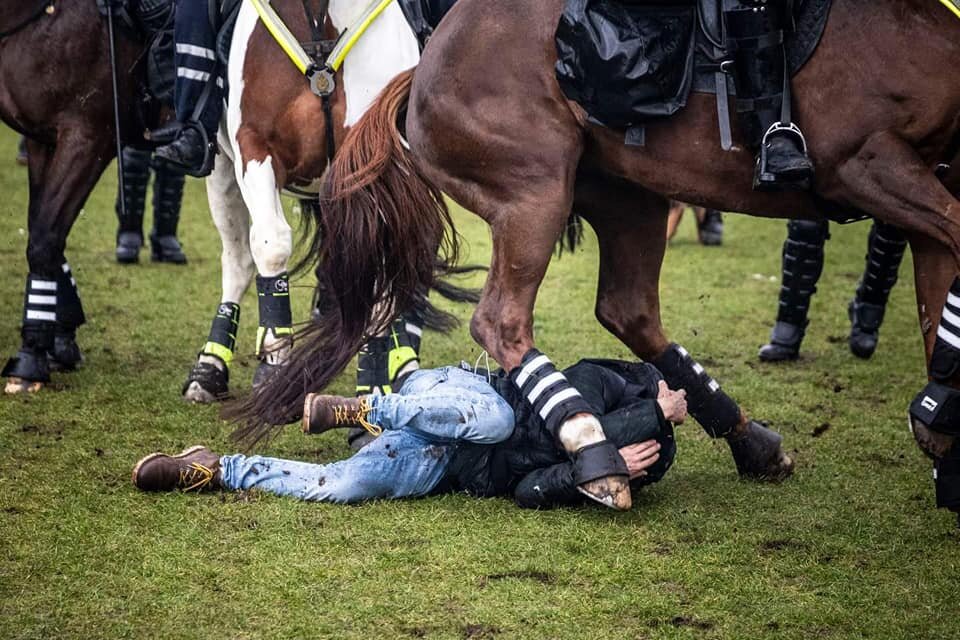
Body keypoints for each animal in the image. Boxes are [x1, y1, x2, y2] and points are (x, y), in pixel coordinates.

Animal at [240, 0, 960, 512]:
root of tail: (424, 66)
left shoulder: (926, 184)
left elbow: (939, 299)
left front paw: (941, 420)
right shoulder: (869, 162)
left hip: (630, 195)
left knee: (628, 311)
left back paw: (750, 442)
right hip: (534, 194)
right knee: (503, 321)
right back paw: (593, 447)